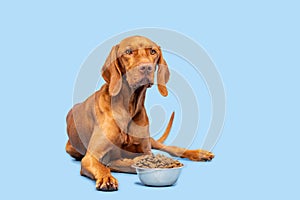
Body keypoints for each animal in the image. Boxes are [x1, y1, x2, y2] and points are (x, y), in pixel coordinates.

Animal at [65, 35, 213, 191]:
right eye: (128, 52)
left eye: (153, 52)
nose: (146, 67)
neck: (128, 107)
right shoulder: (91, 157)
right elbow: (106, 166)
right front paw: (107, 177)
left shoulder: (145, 149)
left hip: (152, 141)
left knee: (170, 148)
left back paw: (199, 153)